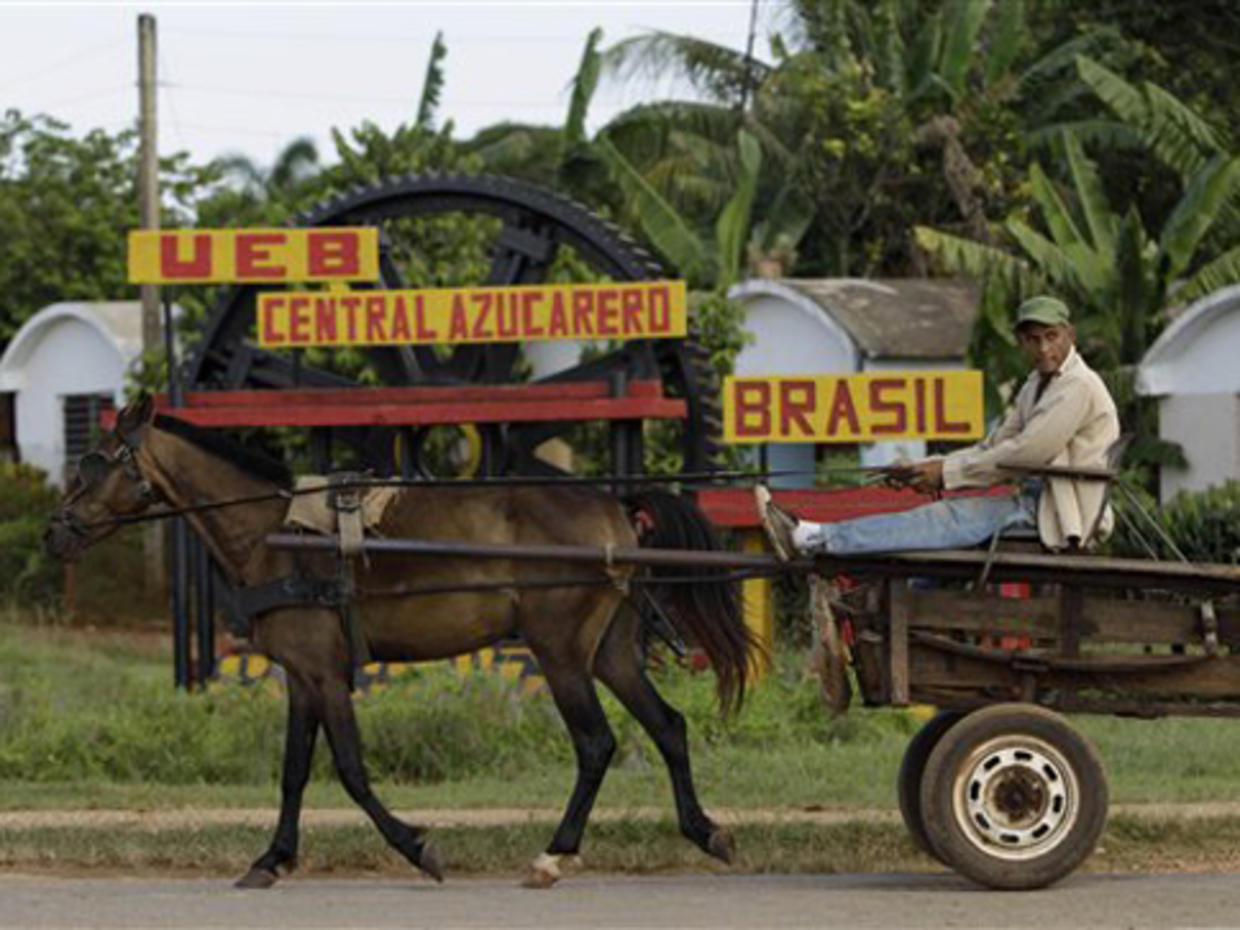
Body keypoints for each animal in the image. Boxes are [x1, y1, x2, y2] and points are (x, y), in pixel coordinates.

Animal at [45, 394, 753, 887]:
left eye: (97, 463)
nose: (56, 529)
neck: (274, 533)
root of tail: (614, 510)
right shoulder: (302, 674)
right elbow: (293, 772)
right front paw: (272, 858)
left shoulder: (325, 672)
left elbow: (351, 770)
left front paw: (417, 847)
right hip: (607, 651)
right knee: (668, 726)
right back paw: (706, 832)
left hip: (561, 652)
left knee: (596, 743)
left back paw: (554, 854)